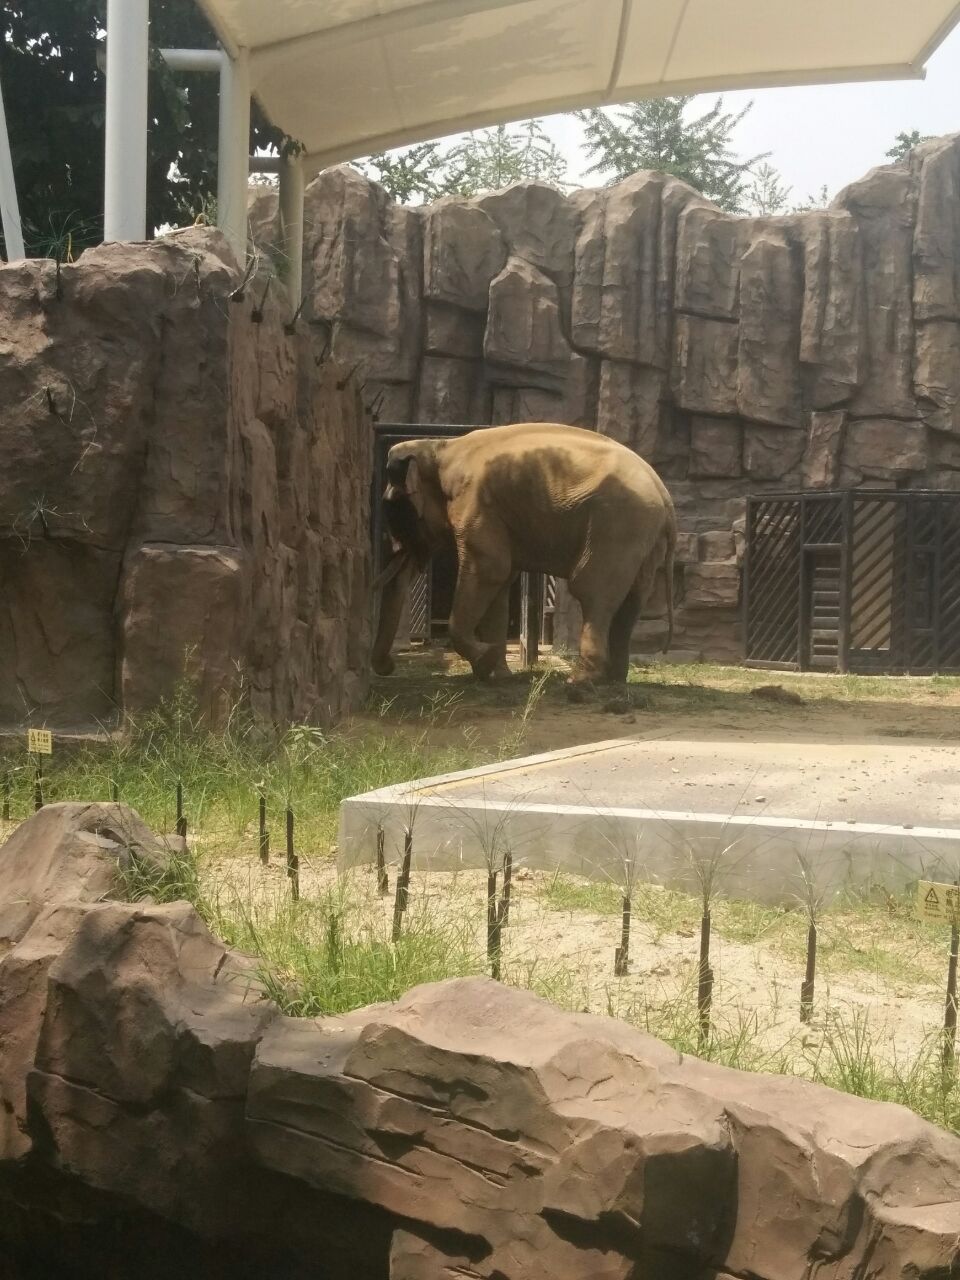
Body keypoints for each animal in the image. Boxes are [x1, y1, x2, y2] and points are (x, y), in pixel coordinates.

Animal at [371, 422, 680, 686]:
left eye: (395, 513)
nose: (388, 667)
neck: (437, 447)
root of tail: (665, 496)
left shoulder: (476, 505)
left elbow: (490, 570)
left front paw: (485, 662)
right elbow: (500, 582)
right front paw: (497, 675)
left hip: (617, 523)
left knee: (592, 590)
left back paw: (580, 684)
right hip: (643, 536)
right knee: (633, 598)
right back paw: (614, 681)